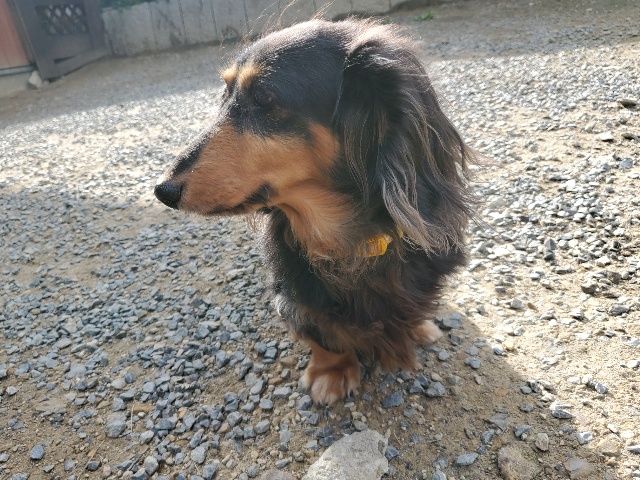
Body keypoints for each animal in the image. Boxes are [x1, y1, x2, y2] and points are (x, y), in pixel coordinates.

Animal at [154, 19, 473, 405]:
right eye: (225, 94)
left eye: (263, 97)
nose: (162, 190)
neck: (348, 244)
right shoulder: (293, 297)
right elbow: (319, 333)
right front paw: (330, 372)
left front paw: (419, 326)